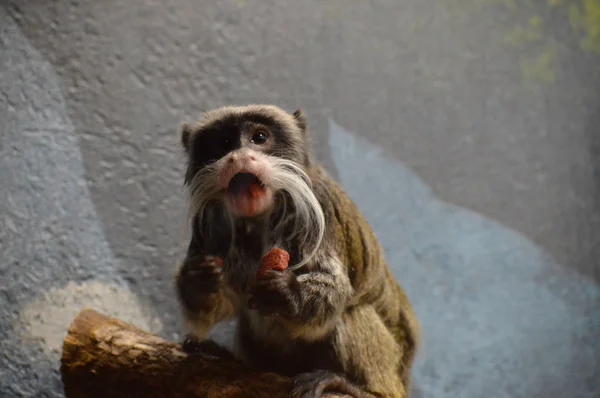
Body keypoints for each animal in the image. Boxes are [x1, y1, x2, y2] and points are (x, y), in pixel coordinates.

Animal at [171, 105, 420, 398]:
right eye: (225, 143)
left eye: (259, 137)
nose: (239, 157)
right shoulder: (210, 220)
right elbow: (224, 302)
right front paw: (198, 281)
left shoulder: (318, 207)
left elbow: (333, 289)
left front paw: (286, 291)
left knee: (353, 311)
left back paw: (356, 387)